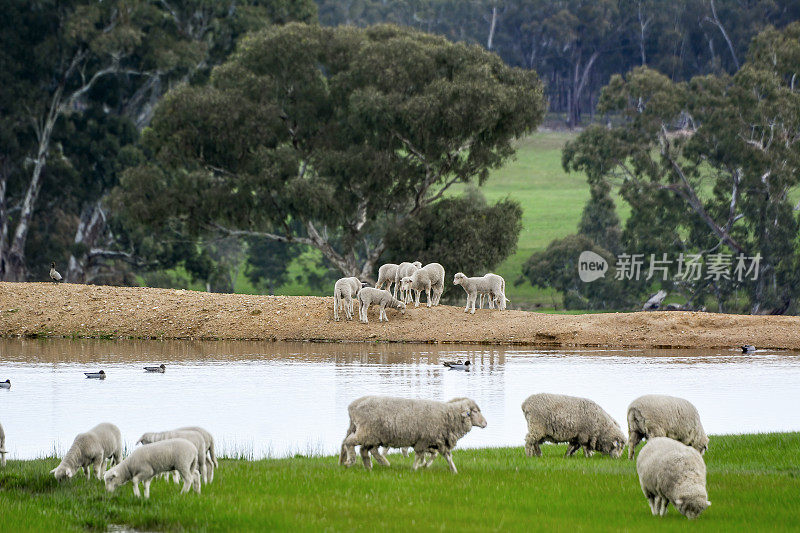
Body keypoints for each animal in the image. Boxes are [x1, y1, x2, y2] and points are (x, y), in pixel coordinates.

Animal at [338, 392, 488, 472]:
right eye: (475, 411)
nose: (485, 424)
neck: (447, 416)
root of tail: (353, 405)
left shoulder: (437, 442)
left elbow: (446, 457)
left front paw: (454, 471)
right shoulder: (424, 440)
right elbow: (419, 455)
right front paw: (415, 468)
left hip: (371, 435)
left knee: (363, 449)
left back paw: (370, 466)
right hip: (366, 432)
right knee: (349, 443)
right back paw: (350, 461)